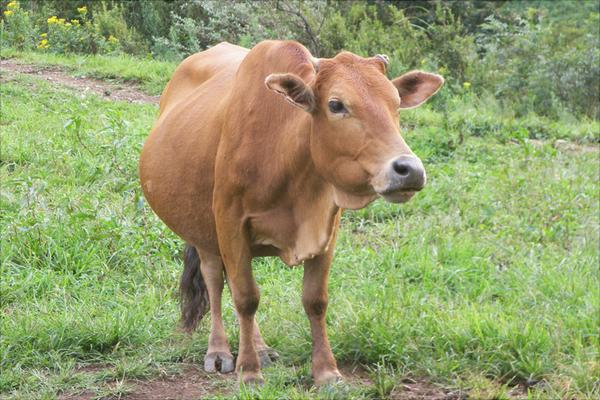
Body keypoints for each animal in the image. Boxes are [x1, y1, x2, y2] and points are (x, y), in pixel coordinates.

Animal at [138, 39, 442, 384]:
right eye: (336, 104)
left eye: (395, 103)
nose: (409, 170)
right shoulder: (230, 224)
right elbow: (246, 298)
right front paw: (249, 371)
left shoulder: (327, 229)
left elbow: (315, 301)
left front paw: (326, 372)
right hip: (204, 233)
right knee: (216, 281)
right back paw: (219, 350)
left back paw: (260, 348)